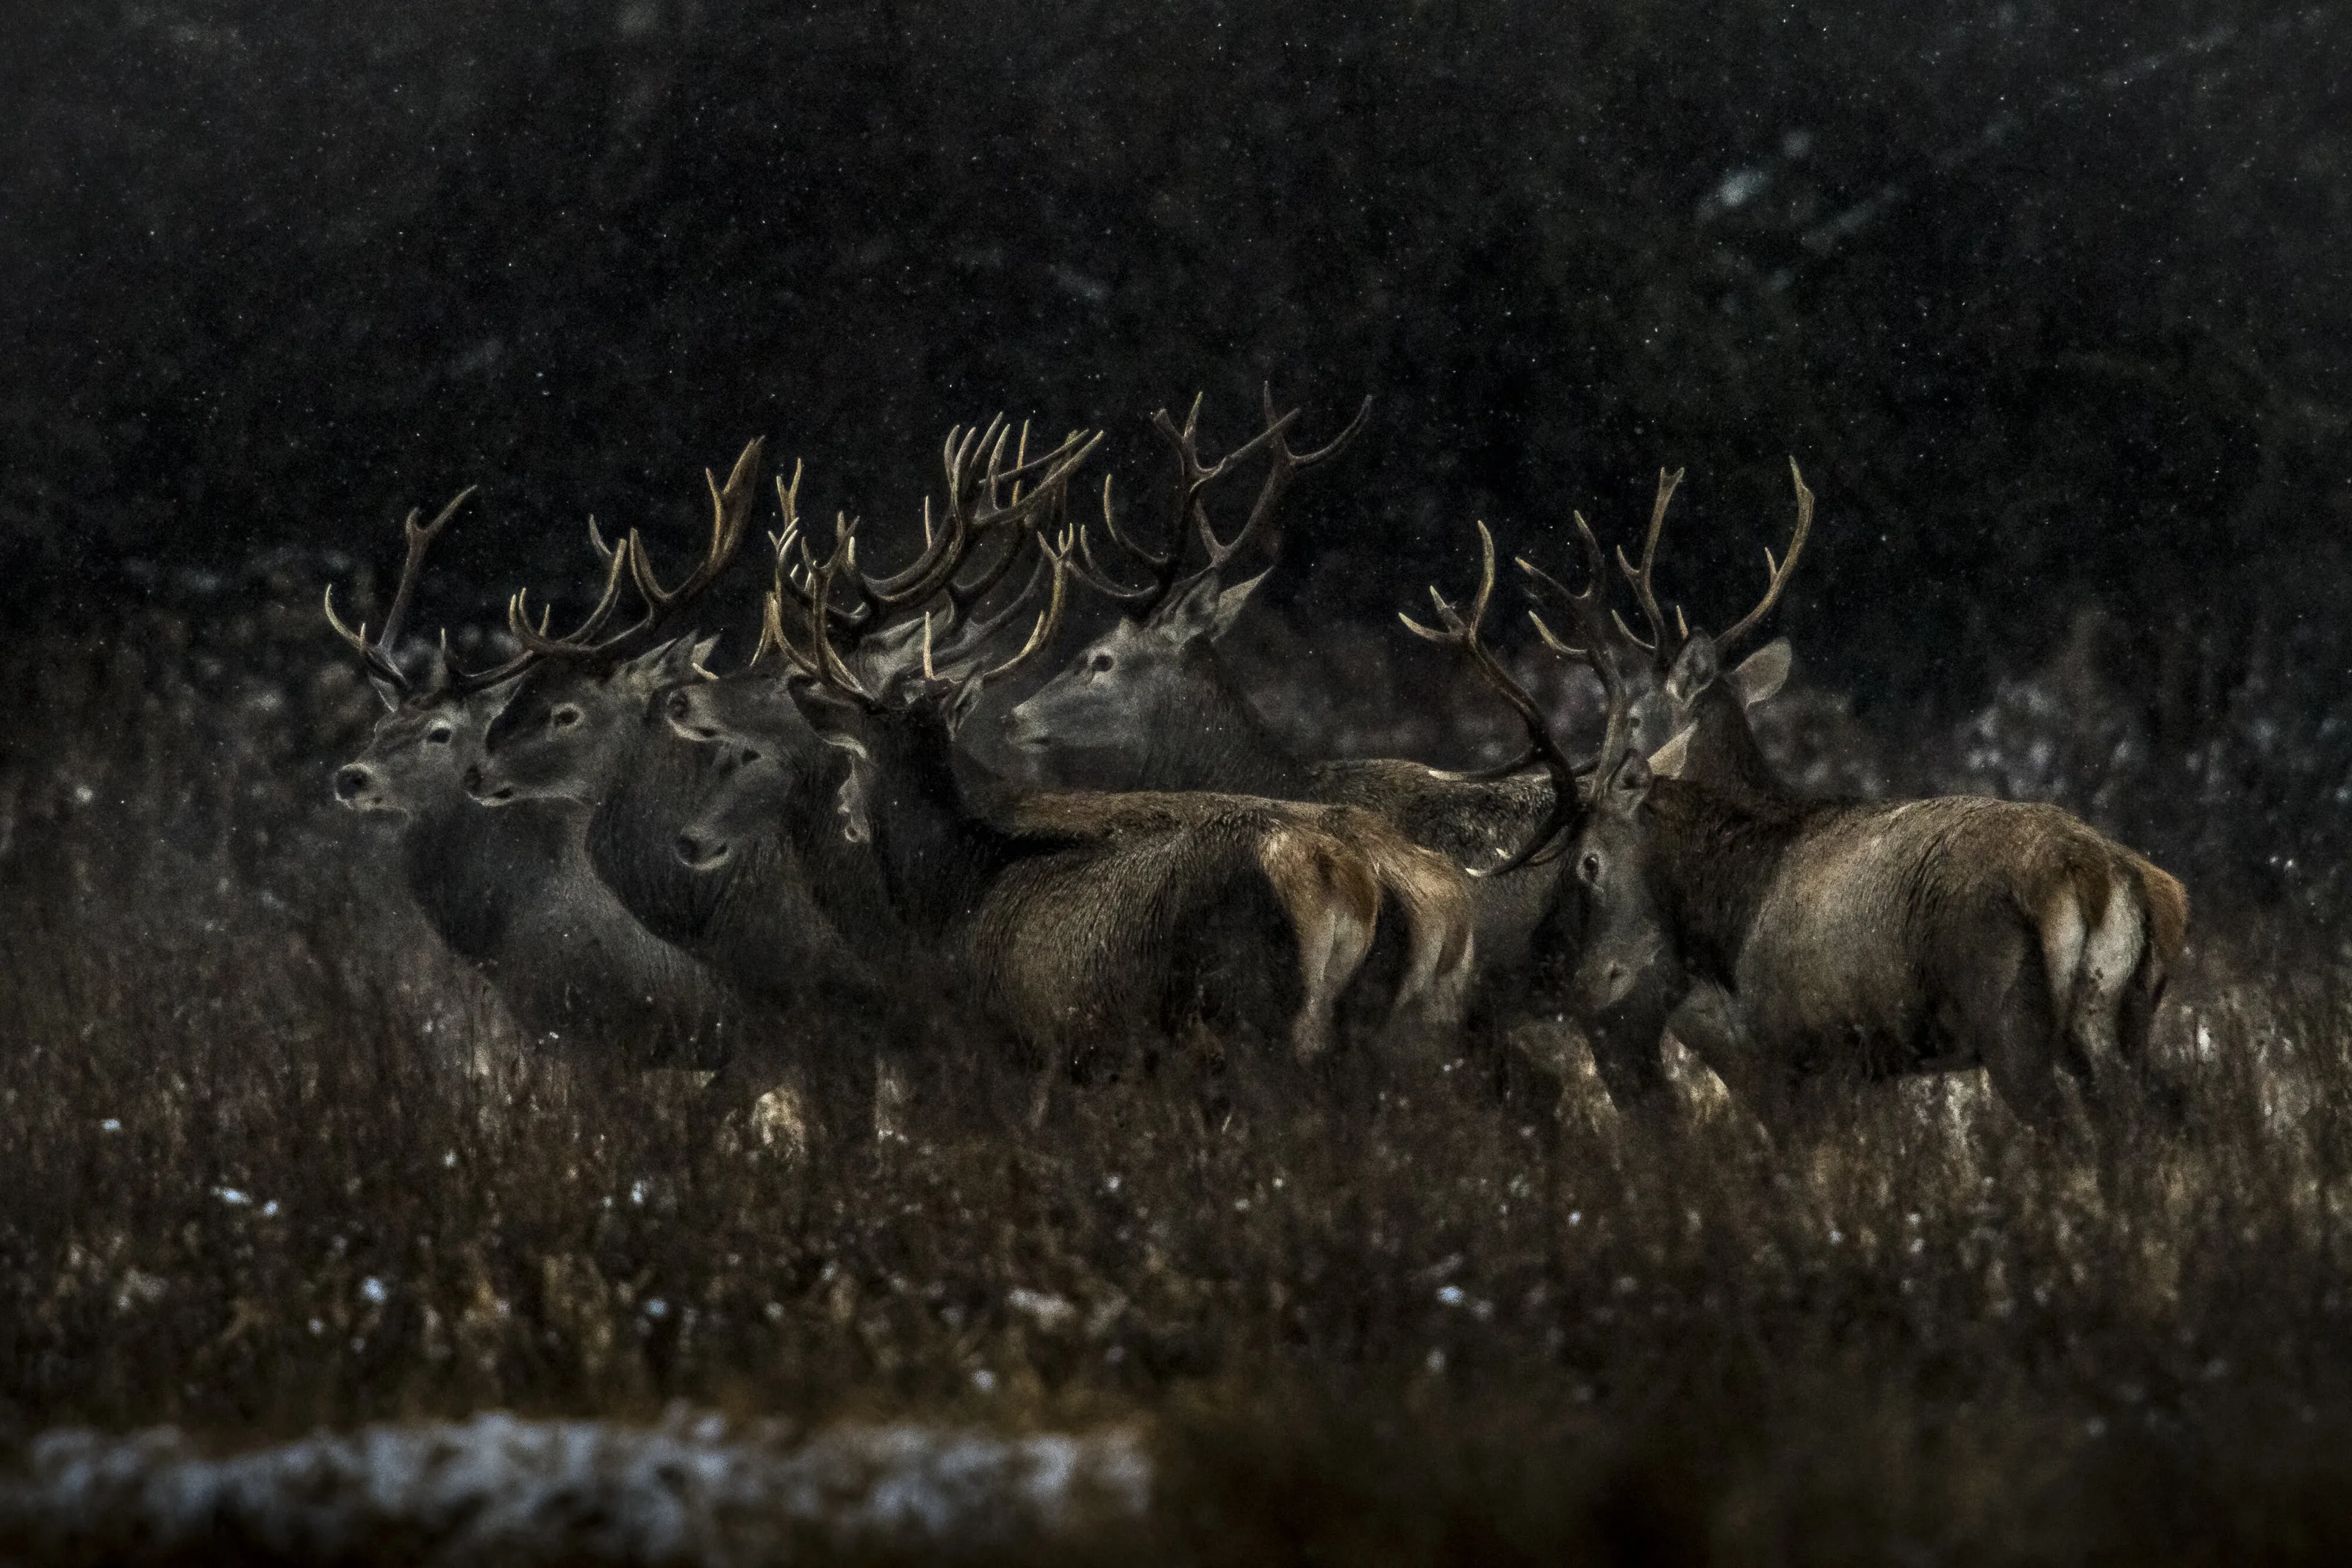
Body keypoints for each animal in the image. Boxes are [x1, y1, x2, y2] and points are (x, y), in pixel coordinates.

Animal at [676, 450, 1476, 1123]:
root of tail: (1353, 879)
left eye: (783, 677)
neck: (953, 890)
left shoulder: (1010, 1043)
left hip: (1255, 1021)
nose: (684, 699)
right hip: (1400, 1034)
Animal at [1413, 507, 2189, 1138]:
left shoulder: (1790, 1041)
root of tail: (2103, 880)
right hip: (2124, 1024)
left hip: (2010, 1018)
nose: (1568, 971)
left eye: (1590, 861)